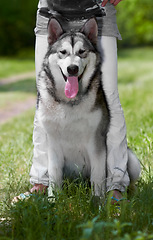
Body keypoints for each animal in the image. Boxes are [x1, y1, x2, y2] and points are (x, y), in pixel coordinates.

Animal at [36, 17, 140, 197]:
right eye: (63, 52)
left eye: (82, 51)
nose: (72, 69)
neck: (69, 102)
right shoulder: (53, 144)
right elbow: (54, 176)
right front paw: (54, 201)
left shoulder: (96, 142)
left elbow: (97, 178)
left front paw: (98, 202)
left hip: (132, 161)